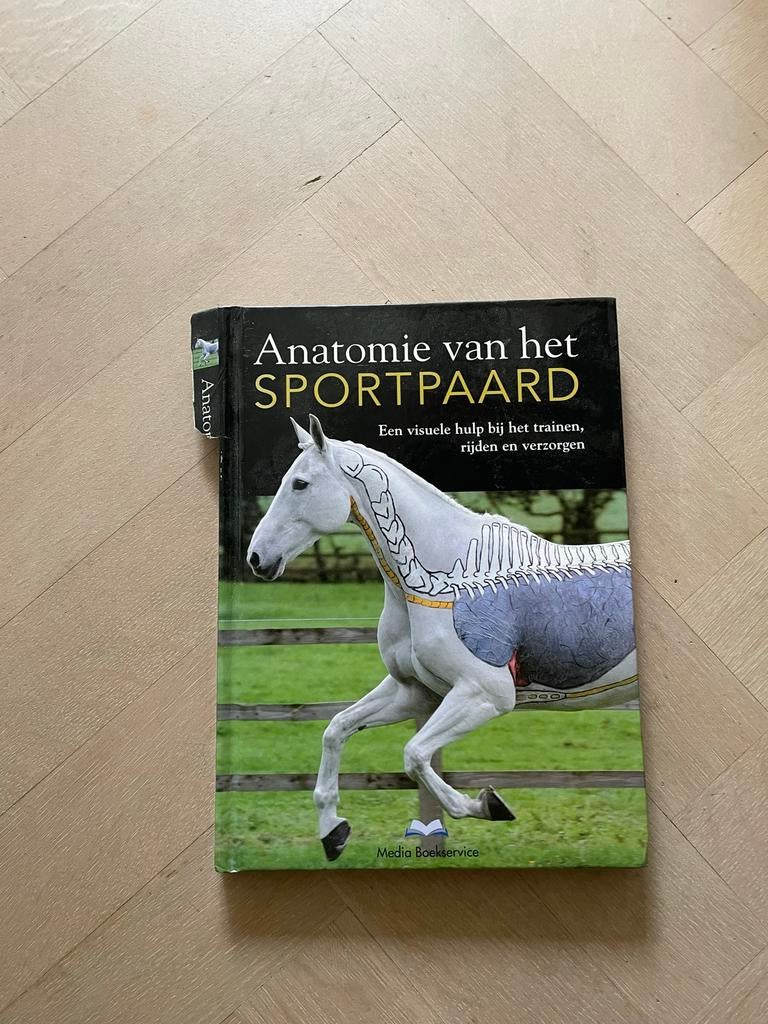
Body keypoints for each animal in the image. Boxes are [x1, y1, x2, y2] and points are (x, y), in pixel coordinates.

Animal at [247, 415, 638, 861]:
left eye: (300, 484)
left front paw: (488, 805)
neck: (443, 584)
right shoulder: (416, 691)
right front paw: (334, 832)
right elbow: (337, 728)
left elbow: (415, 755)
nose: (257, 558)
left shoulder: (485, 695)